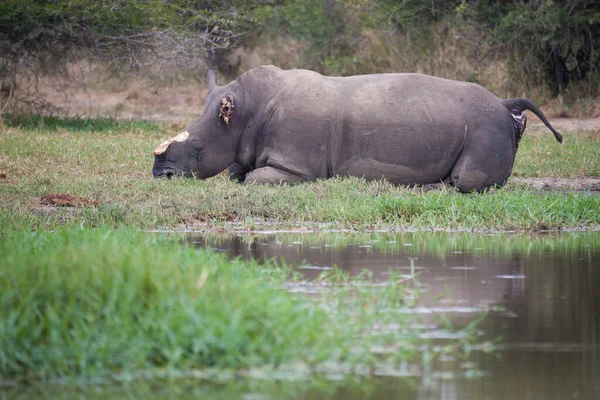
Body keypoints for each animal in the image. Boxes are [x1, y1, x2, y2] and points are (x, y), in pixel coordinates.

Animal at [151, 65, 564, 193]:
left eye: (198, 151)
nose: (161, 175)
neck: (245, 110)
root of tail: (504, 105)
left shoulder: (296, 167)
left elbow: (252, 179)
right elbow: (237, 171)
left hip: (484, 127)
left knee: (466, 182)